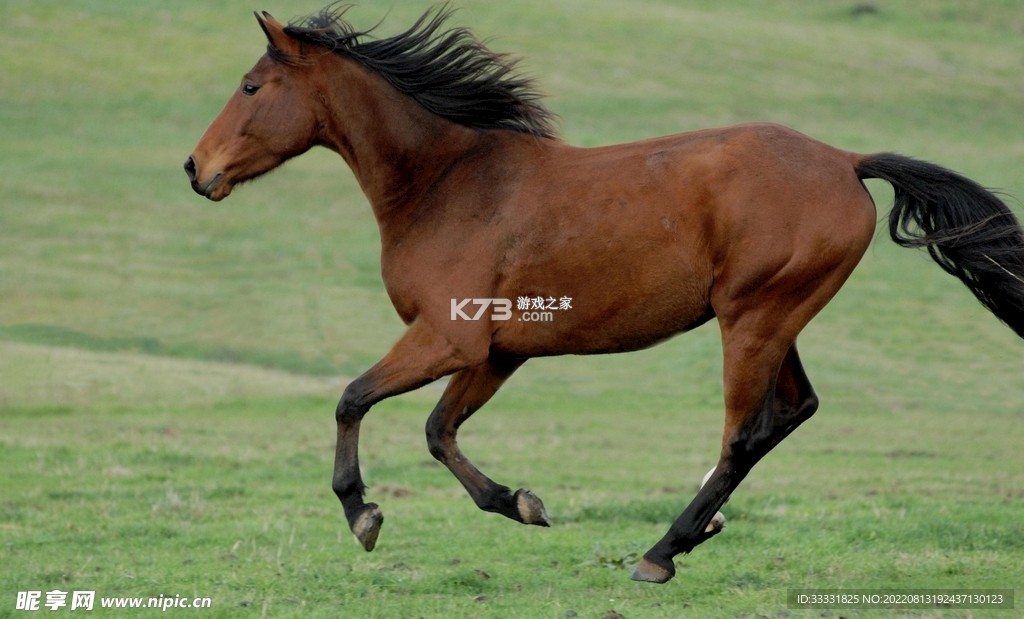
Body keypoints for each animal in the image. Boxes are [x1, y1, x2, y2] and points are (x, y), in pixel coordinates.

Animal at [184, 5, 1024, 583]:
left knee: (743, 432)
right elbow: (437, 430)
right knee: (790, 410)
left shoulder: (447, 337)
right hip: (775, 318)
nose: (195, 168)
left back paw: (664, 549)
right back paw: (697, 531)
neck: (447, 182)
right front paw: (521, 502)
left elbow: (353, 397)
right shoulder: (496, 352)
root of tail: (846, 161)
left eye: (252, 85)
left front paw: (362, 512)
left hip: (754, 318)